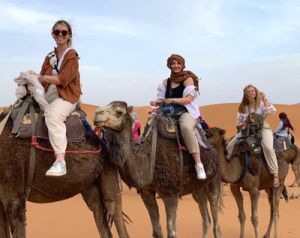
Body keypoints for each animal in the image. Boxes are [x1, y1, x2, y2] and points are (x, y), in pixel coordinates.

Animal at [94, 101, 223, 238]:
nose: (97, 113)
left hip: (215, 178)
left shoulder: (170, 193)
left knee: (215, 216)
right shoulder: (146, 191)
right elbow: (157, 231)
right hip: (198, 189)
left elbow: (171, 232)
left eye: (119, 112)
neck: (147, 159)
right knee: (206, 219)